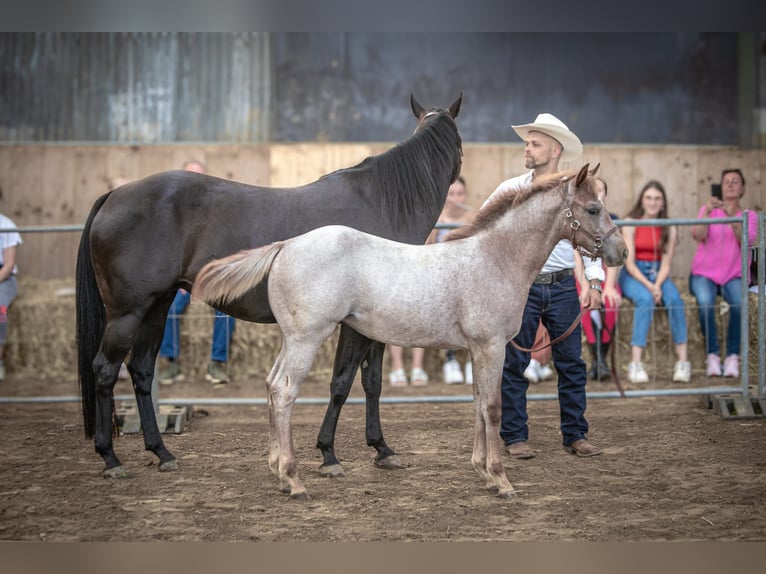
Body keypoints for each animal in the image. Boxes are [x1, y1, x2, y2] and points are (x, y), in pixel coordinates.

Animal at [78, 95, 464, 482]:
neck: (383, 205)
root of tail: (114, 195)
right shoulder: (353, 325)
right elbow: (341, 382)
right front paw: (329, 453)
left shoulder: (375, 323)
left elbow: (372, 381)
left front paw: (381, 448)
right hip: (127, 312)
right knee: (105, 371)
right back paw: (111, 458)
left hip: (157, 307)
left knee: (142, 370)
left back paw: (161, 452)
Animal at [194, 163, 632, 500]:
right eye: (593, 208)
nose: (621, 253)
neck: (494, 258)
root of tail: (286, 245)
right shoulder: (491, 347)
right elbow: (492, 407)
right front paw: (502, 480)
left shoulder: (478, 350)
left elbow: (477, 404)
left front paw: (483, 473)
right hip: (307, 339)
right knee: (284, 393)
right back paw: (294, 480)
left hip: (292, 340)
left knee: (271, 386)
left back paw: (278, 472)